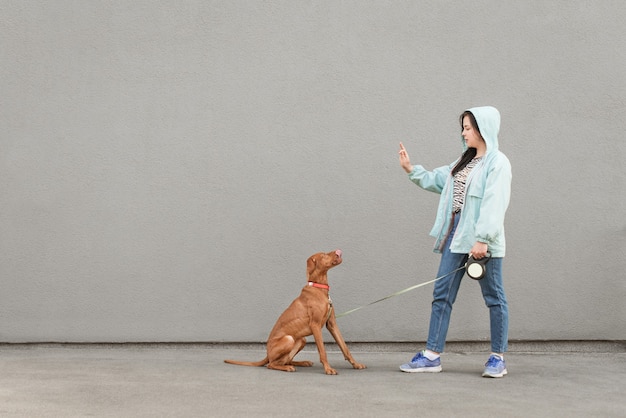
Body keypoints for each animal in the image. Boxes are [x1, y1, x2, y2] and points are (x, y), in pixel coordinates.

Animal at [223, 250, 364, 374]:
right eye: (324, 254)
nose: (338, 251)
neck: (319, 287)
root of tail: (267, 354)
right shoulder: (315, 325)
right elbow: (323, 351)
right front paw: (328, 369)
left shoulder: (332, 324)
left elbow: (345, 347)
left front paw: (356, 364)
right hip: (289, 339)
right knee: (271, 364)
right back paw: (287, 367)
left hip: (302, 340)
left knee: (285, 360)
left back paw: (301, 363)